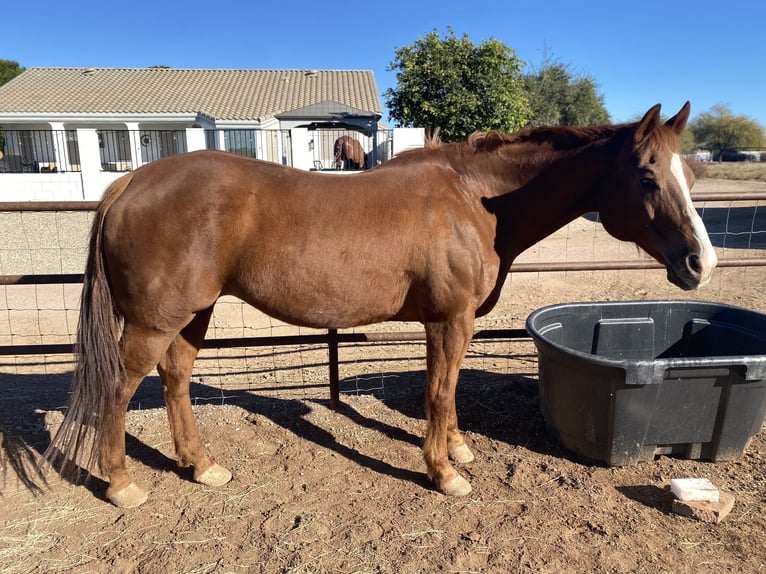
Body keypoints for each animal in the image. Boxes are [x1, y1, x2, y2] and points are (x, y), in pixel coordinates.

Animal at [45, 103, 716, 508]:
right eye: (649, 177)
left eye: (689, 176)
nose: (701, 263)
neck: (476, 200)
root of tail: (131, 181)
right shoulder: (449, 320)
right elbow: (439, 392)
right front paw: (445, 473)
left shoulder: (452, 324)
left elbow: (448, 389)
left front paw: (457, 449)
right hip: (156, 319)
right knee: (120, 388)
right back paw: (122, 484)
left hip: (193, 313)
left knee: (176, 378)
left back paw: (201, 465)